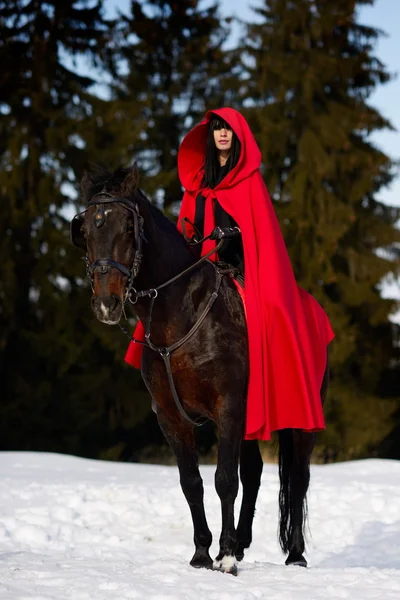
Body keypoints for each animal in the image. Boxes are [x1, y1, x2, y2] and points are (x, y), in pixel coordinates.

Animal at [71, 165, 328, 576]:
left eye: (128, 227)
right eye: (86, 230)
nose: (107, 303)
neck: (182, 316)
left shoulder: (229, 408)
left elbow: (225, 480)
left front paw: (224, 557)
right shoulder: (171, 417)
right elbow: (191, 482)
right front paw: (204, 553)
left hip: (302, 416)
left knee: (299, 478)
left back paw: (295, 554)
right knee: (254, 472)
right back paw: (242, 541)